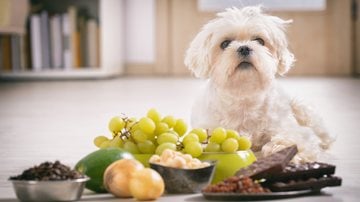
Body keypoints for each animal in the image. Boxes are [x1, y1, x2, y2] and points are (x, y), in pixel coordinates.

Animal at [186, 6, 334, 163]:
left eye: (259, 41)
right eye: (225, 44)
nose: (244, 48)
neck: (244, 95)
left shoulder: (291, 129)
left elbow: (294, 139)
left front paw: (282, 149)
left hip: (302, 109)